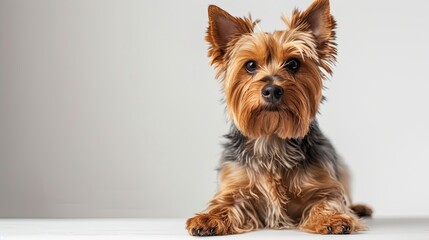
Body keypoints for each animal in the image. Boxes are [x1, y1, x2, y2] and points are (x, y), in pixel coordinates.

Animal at [186, 0, 370, 236]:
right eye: (250, 65)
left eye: (293, 63)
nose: (272, 90)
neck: (272, 137)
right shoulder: (235, 183)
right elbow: (225, 204)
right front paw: (208, 218)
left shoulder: (322, 181)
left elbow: (328, 200)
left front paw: (333, 218)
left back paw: (360, 207)